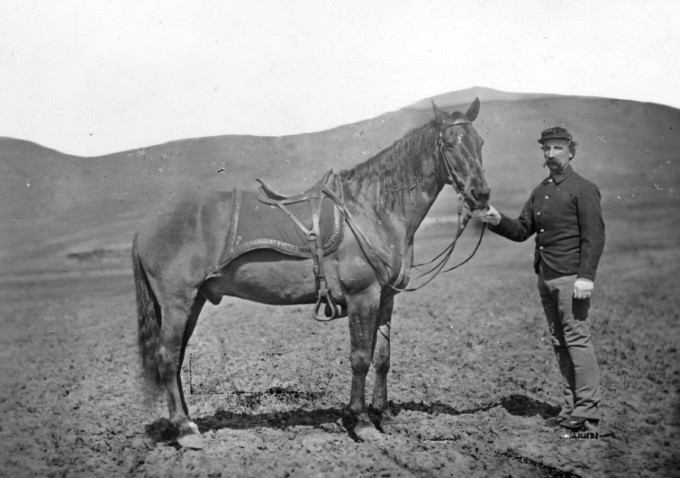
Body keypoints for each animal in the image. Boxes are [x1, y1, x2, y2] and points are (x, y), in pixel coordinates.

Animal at [132, 98, 490, 448]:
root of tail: (148, 224)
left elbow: (382, 358)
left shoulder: (386, 298)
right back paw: (186, 429)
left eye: (480, 142)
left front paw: (384, 415)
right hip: (178, 304)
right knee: (166, 357)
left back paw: (187, 422)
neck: (372, 211)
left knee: (176, 358)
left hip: (194, 303)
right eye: (449, 143)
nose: (481, 194)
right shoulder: (363, 297)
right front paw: (362, 421)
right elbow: (360, 357)